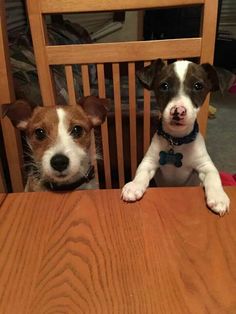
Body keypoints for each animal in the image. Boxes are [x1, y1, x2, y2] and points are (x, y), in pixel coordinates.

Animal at [122, 59, 230, 216]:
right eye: (164, 86)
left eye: (198, 86)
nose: (178, 111)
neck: (177, 141)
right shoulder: (149, 162)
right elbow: (141, 172)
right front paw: (134, 186)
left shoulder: (205, 165)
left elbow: (213, 176)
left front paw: (218, 197)